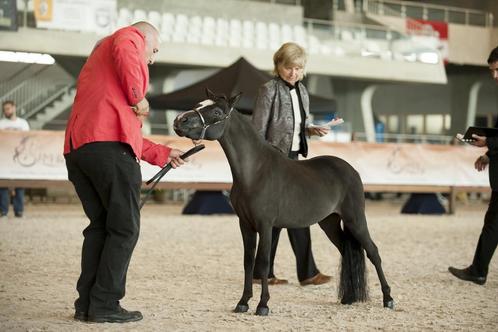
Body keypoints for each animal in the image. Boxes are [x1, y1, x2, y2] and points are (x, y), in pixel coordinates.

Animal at [173, 89, 394, 316]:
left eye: (217, 112)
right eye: (199, 104)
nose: (180, 120)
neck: (255, 171)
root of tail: (351, 170)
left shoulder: (265, 225)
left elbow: (263, 261)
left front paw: (263, 305)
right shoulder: (245, 225)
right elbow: (248, 261)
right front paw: (243, 302)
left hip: (355, 219)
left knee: (373, 252)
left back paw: (388, 299)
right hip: (329, 222)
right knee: (346, 252)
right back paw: (349, 298)